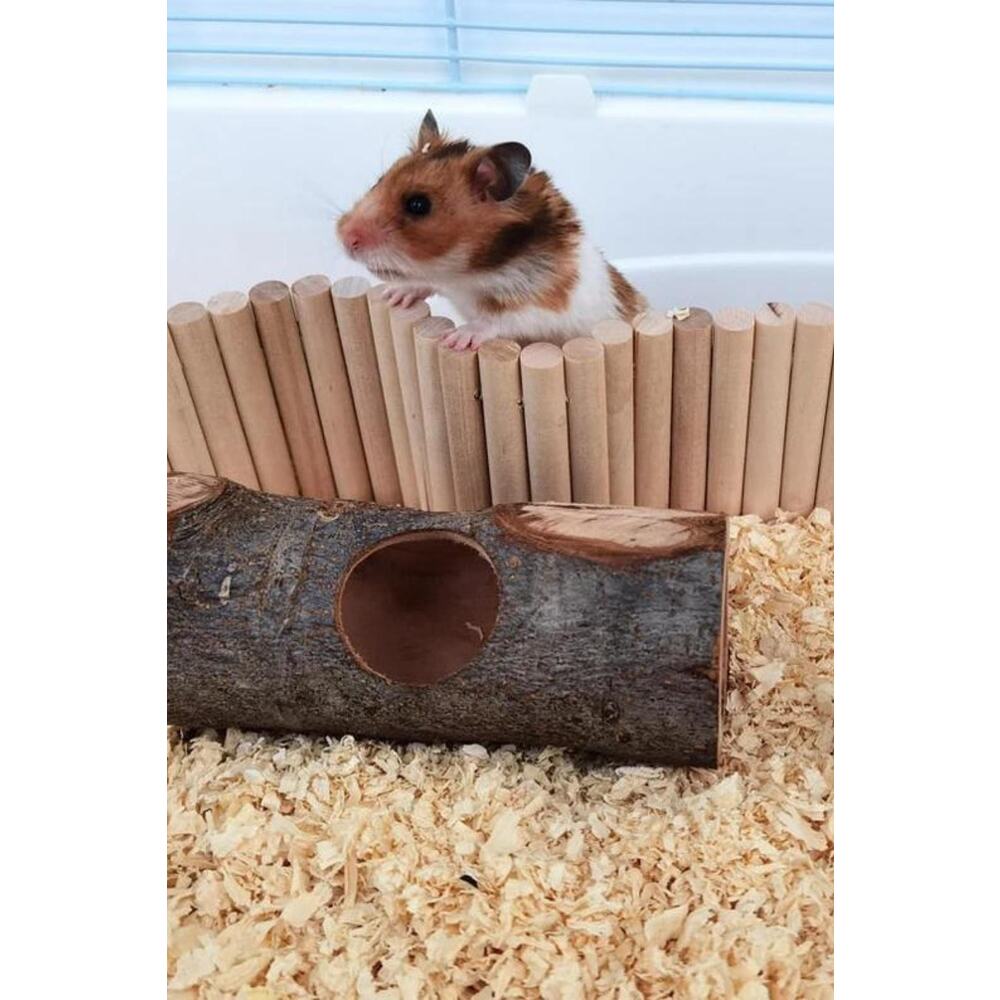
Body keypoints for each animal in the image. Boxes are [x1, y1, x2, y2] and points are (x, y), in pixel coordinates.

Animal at [337, 110, 647, 350]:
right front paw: (394, 297)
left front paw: (456, 338)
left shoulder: (545, 303)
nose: (343, 237)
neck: (468, 273)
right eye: (379, 181)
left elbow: (499, 319)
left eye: (418, 205)